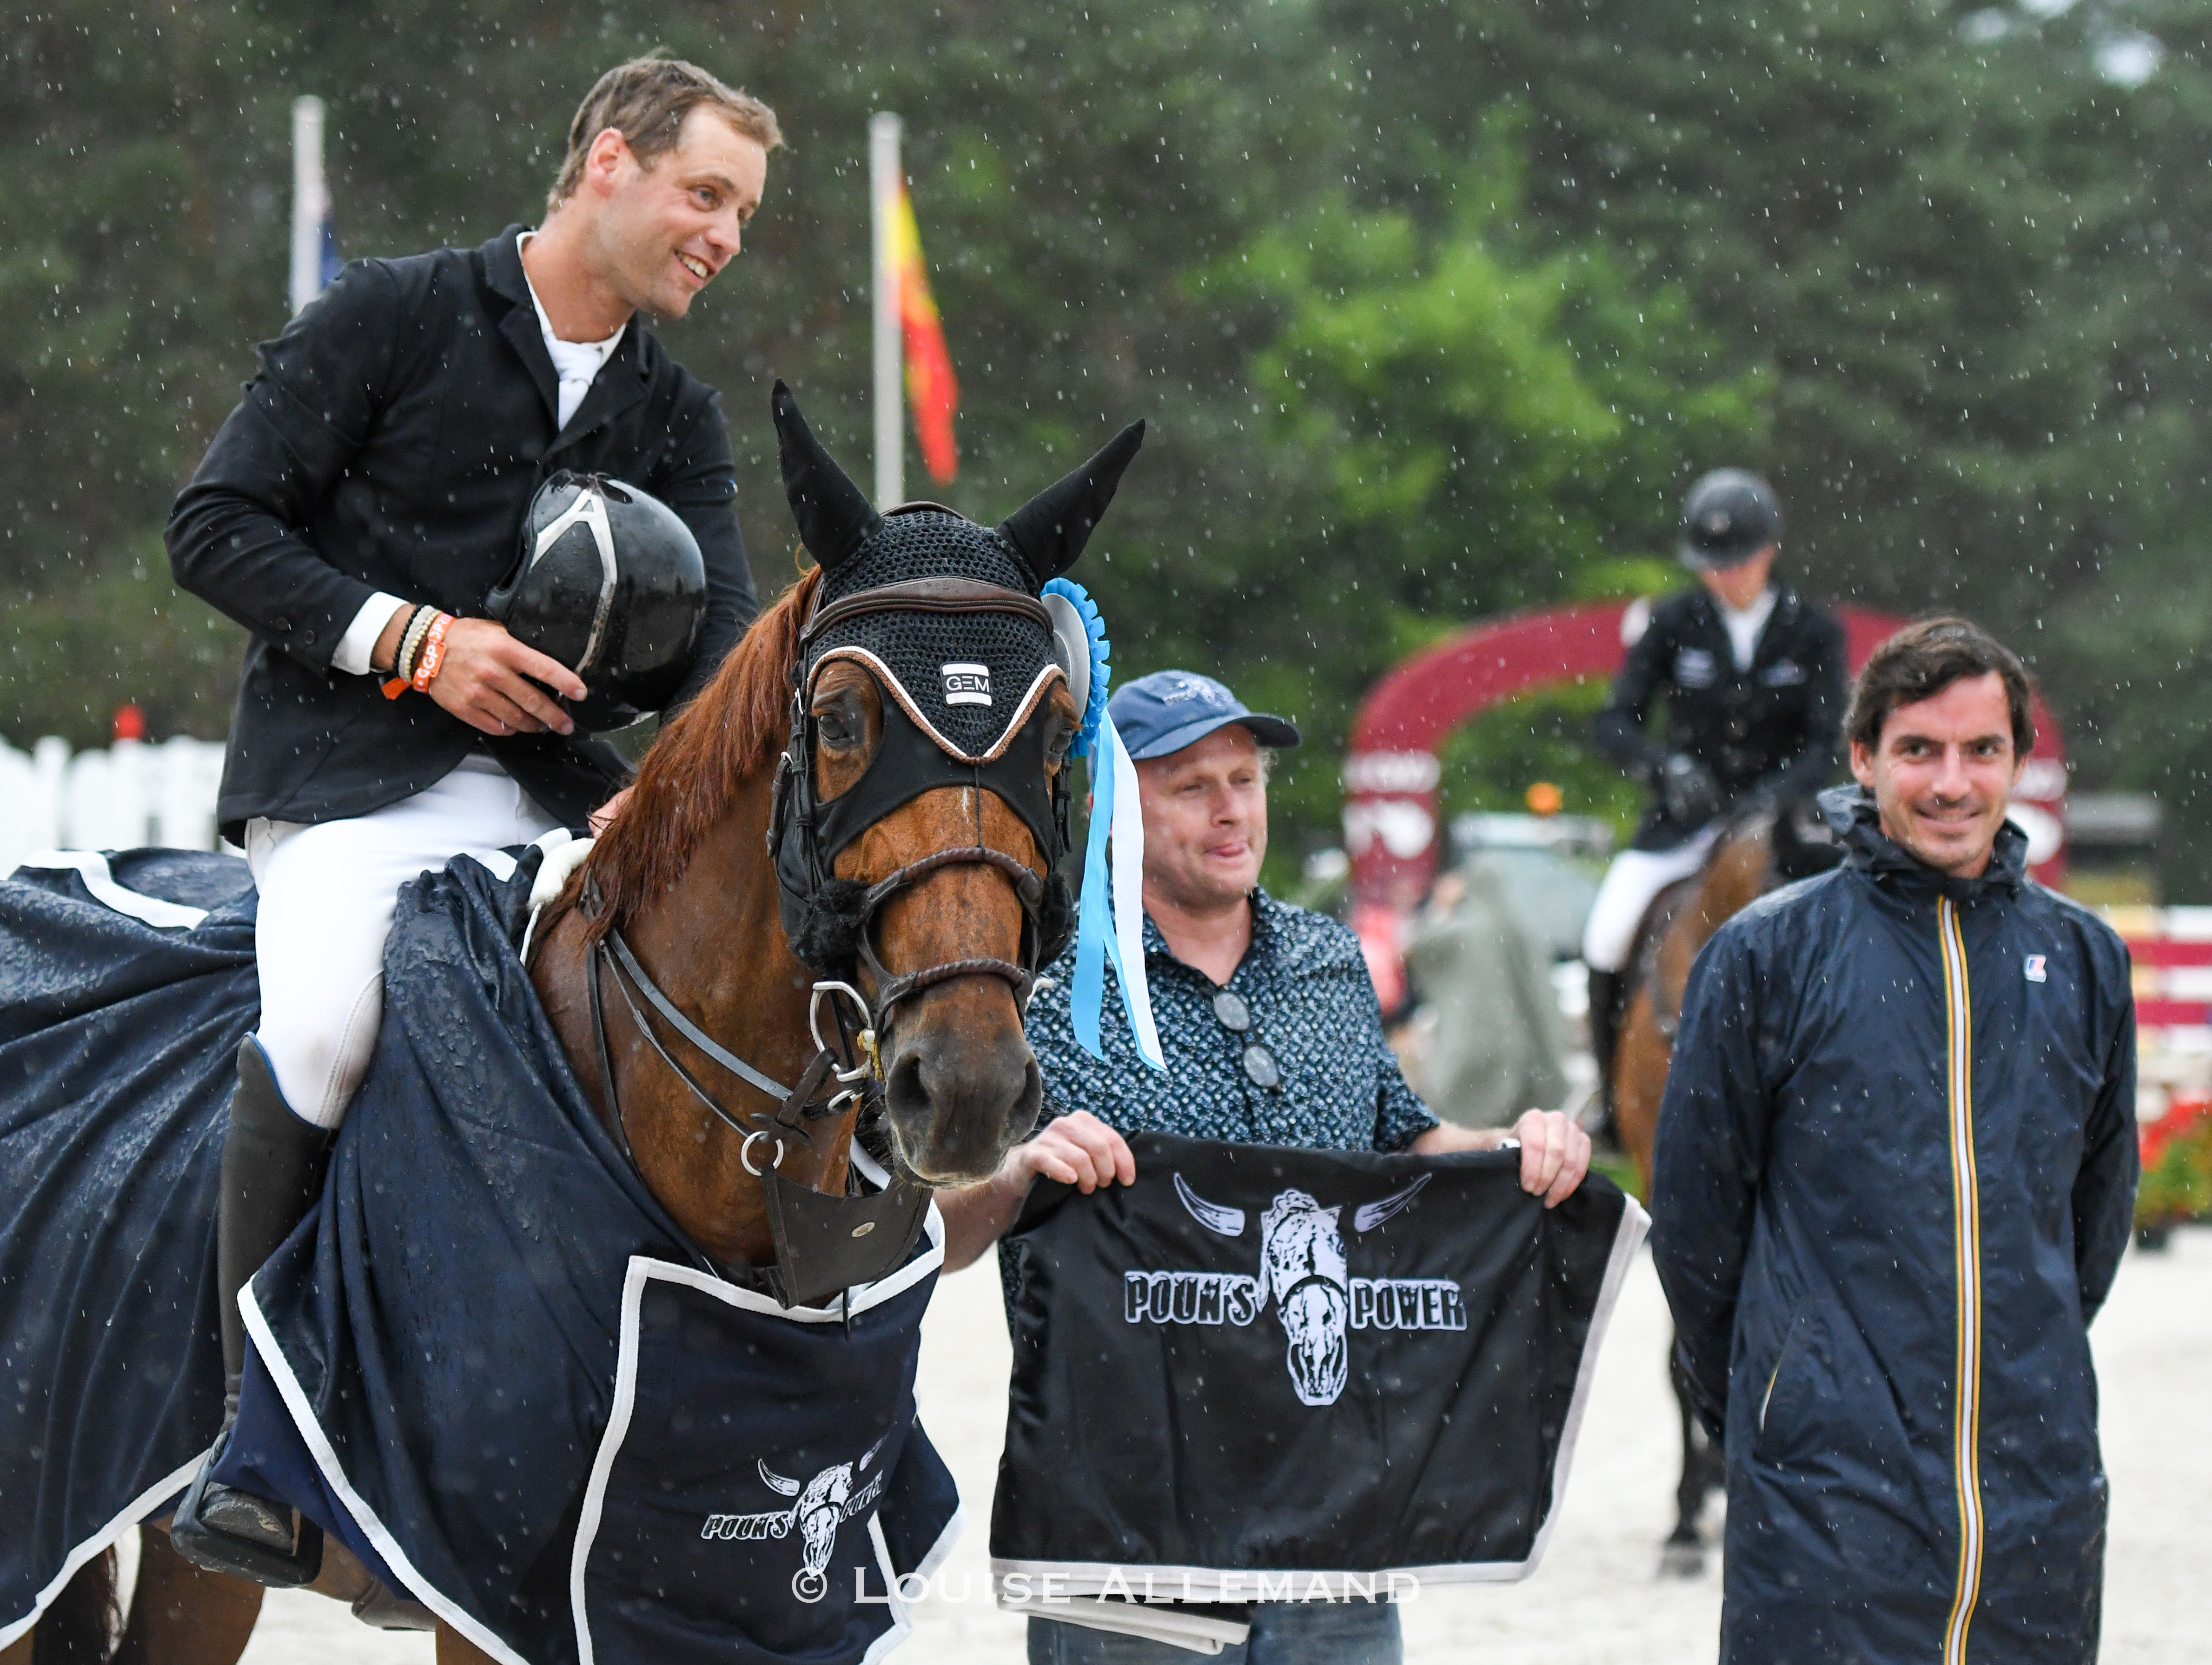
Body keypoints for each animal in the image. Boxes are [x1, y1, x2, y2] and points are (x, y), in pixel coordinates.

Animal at [4, 387, 1141, 1663]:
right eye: (843, 719)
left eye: (1054, 730)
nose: (966, 1088)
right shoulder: (490, 1571)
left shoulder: (720, 1589)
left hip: (178, 1554)